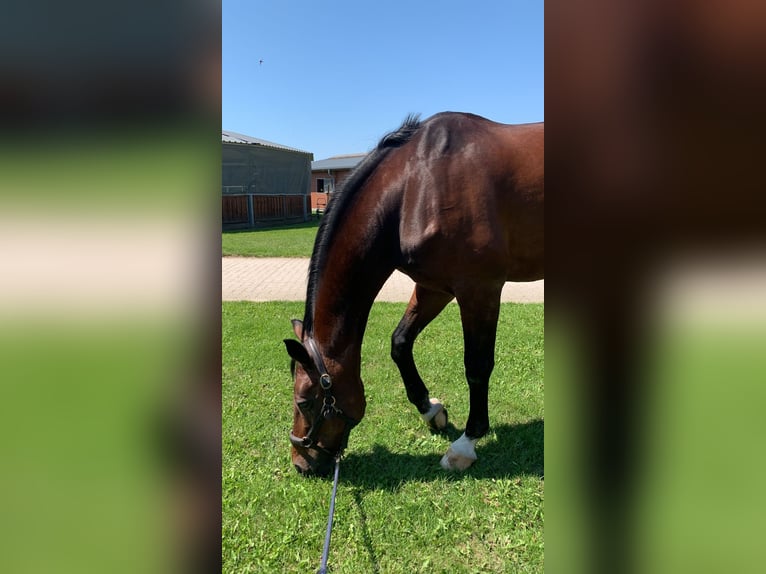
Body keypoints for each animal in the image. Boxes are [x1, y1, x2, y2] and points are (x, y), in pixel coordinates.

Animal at [284, 111, 544, 476]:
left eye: (304, 402)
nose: (301, 463)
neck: (417, 185)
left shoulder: (479, 290)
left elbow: (476, 366)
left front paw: (465, 444)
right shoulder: (433, 288)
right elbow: (400, 342)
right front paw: (431, 410)